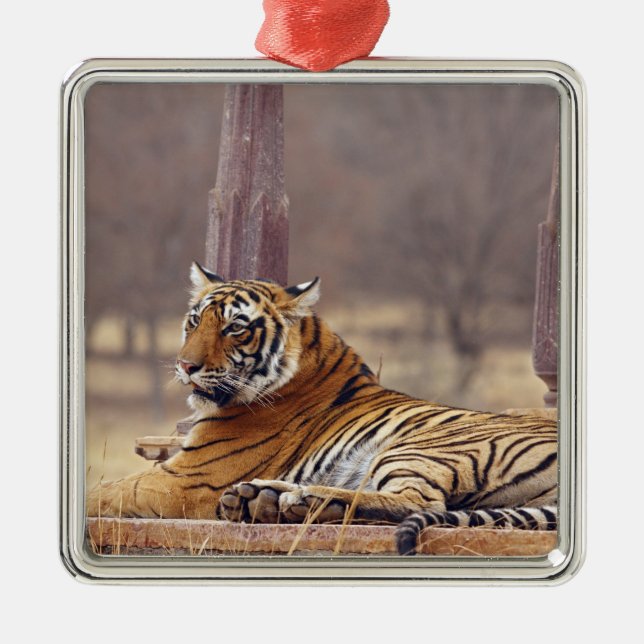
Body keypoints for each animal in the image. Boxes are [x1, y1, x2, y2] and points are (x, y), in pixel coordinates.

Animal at [86, 262, 558, 555]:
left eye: (235, 327)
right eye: (194, 320)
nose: (185, 366)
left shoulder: (187, 479)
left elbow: (101, 491)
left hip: (423, 447)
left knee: (416, 503)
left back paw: (293, 498)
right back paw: (267, 501)